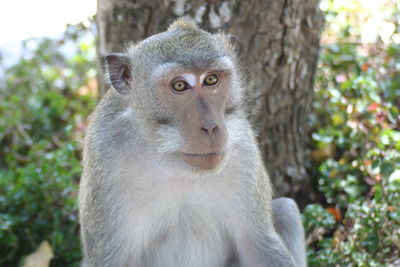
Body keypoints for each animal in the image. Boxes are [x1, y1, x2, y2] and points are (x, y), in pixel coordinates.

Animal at [79, 18, 308, 267]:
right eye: (180, 86)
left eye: (211, 80)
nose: (210, 127)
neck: (176, 166)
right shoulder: (104, 155)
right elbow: (109, 259)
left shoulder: (244, 150)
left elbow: (259, 245)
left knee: (285, 209)